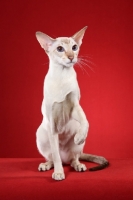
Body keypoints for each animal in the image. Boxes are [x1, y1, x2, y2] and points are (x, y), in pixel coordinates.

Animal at [35, 26, 109, 181]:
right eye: (60, 49)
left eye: (74, 47)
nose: (71, 57)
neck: (62, 76)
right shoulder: (52, 121)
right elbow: (55, 154)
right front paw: (59, 173)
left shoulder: (74, 106)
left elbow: (86, 121)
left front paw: (80, 137)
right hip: (41, 135)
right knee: (53, 157)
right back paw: (46, 165)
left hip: (75, 144)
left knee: (74, 158)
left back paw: (79, 165)